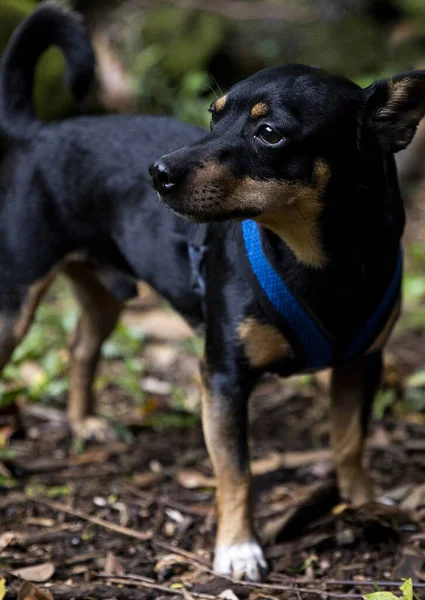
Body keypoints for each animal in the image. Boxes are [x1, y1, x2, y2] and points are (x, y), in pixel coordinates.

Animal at [0, 3, 424, 580]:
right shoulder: (223, 377)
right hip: (14, 306)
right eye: (212, 115)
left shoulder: (362, 365)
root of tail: (36, 132)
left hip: (104, 295)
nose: (156, 172)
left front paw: (363, 505)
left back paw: (84, 422)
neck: (322, 262)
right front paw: (238, 547)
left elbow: (349, 444)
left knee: (81, 347)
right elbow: (236, 470)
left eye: (269, 133)